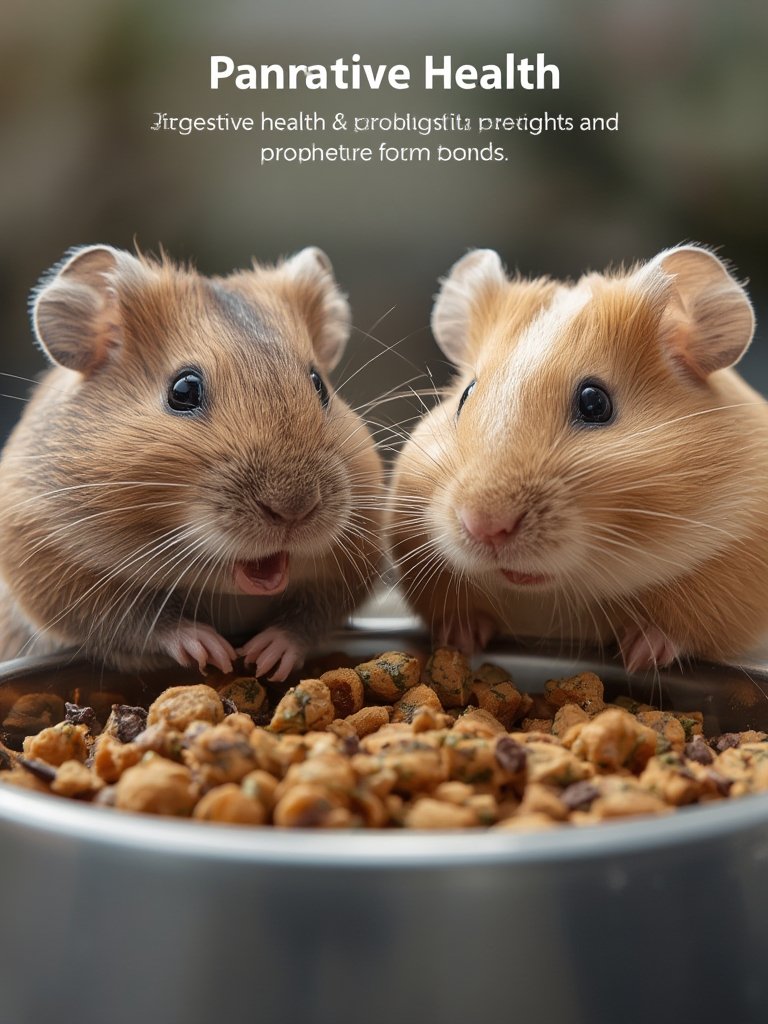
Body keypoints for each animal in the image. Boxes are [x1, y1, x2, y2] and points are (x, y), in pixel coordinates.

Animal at [0, 244, 383, 679]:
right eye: (183, 390)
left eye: (319, 385)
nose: (294, 511)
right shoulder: (53, 564)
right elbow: (141, 621)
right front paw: (215, 653)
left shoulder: (352, 566)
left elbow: (309, 618)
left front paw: (264, 658)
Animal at [389, 244, 768, 671]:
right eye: (466, 395)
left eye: (595, 403)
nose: (485, 526)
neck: (552, 599)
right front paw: (459, 639)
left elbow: (678, 627)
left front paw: (640, 657)